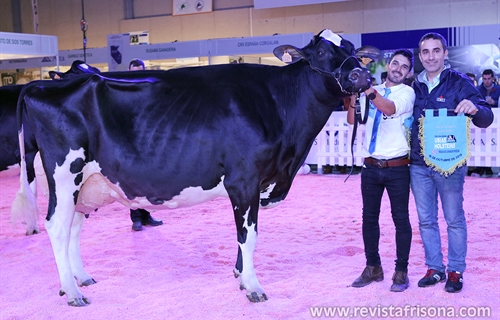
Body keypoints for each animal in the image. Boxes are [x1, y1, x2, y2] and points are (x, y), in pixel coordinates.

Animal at [12, 30, 372, 304]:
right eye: (323, 51)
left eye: (353, 50)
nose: (363, 75)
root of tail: (42, 85)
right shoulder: (244, 180)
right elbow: (249, 235)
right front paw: (253, 287)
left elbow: (241, 237)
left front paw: (240, 275)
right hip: (64, 175)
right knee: (57, 227)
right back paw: (72, 292)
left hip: (86, 184)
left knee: (73, 226)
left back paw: (81, 278)